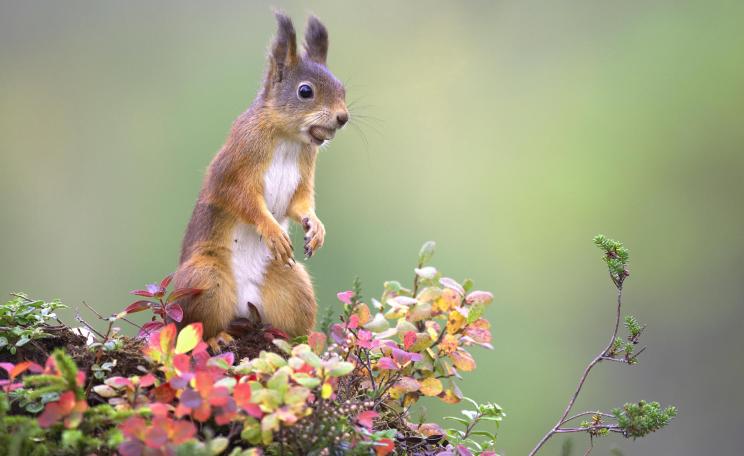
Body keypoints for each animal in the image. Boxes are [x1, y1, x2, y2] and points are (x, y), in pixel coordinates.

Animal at [172, 13, 348, 340]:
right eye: (305, 91)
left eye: (343, 88)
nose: (343, 117)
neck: (287, 139)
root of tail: (243, 307)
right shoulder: (235, 164)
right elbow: (240, 199)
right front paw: (272, 229)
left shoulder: (304, 173)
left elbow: (300, 203)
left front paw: (316, 227)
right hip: (205, 279)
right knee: (191, 327)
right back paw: (217, 337)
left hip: (294, 286)